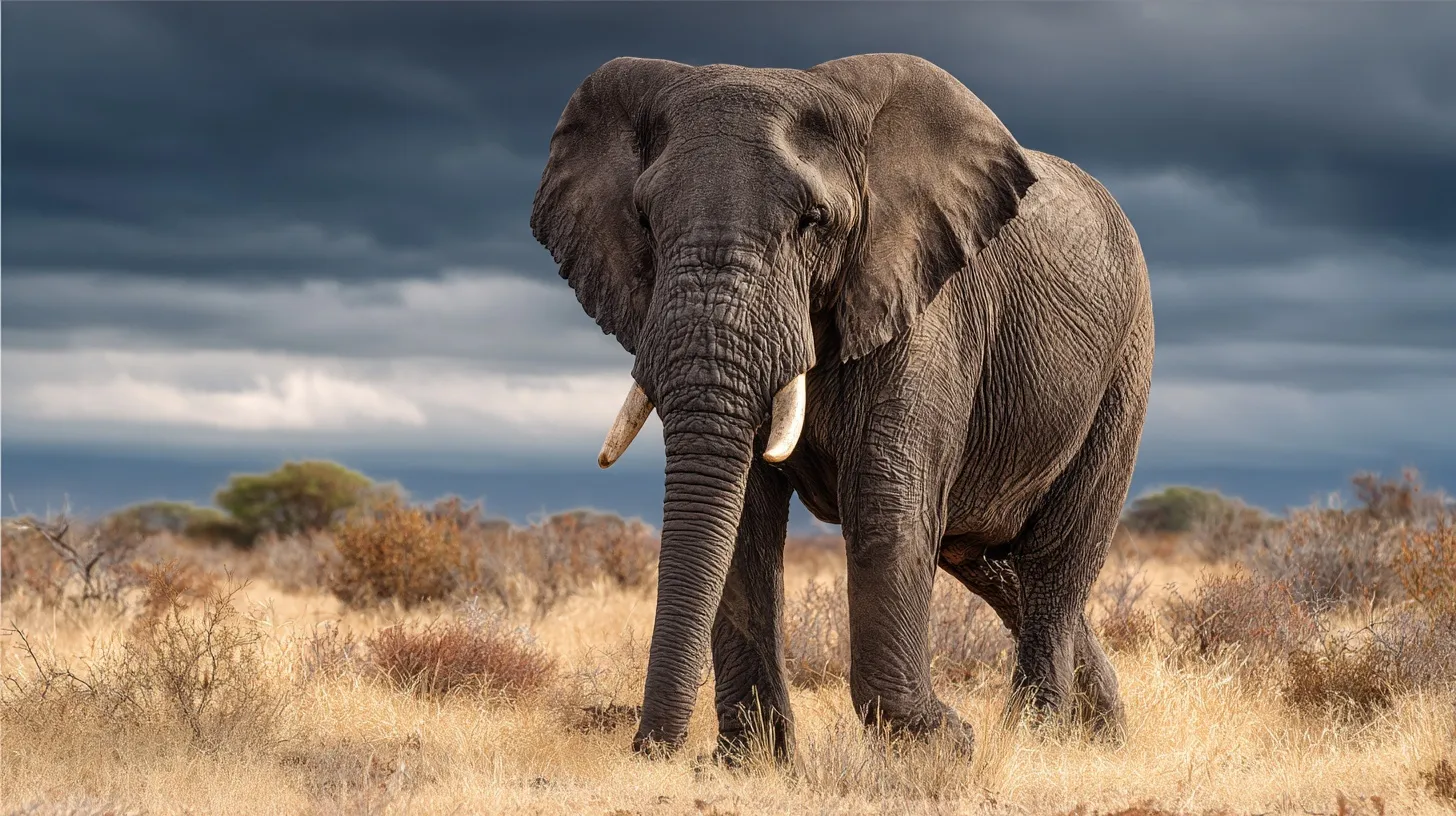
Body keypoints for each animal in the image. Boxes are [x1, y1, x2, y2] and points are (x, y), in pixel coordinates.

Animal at [531, 52, 1154, 761]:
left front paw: (946, 745)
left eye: (814, 221)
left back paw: (1039, 739)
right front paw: (749, 764)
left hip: (1123, 367)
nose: (648, 749)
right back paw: (1105, 730)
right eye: (642, 220)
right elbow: (743, 509)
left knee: (1054, 566)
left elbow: (887, 496)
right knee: (994, 569)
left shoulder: (924, 303)